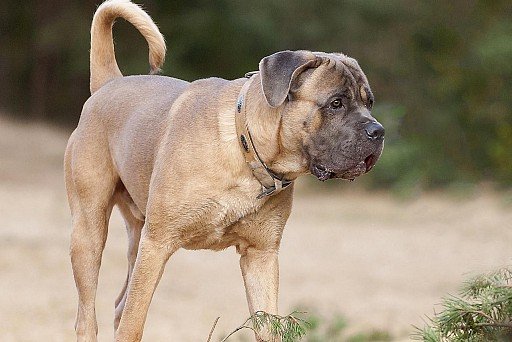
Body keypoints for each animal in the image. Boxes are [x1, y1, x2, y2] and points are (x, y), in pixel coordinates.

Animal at [65, 0, 384, 340]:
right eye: (336, 103)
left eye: (369, 103)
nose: (378, 132)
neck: (246, 149)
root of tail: (108, 83)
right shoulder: (156, 245)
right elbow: (132, 324)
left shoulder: (260, 256)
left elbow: (267, 324)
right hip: (90, 232)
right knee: (89, 316)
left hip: (136, 235)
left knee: (119, 304)